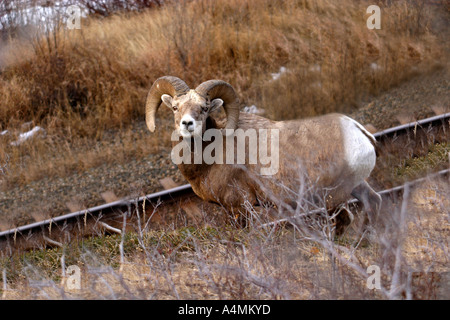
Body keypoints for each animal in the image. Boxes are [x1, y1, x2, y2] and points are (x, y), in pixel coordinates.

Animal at [146, 76, 382, 222]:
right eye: (175, 107)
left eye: (204, 108)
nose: (187, 124)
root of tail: (360, 132)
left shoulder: (240, 207)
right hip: (357, 186)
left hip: (334, 196)